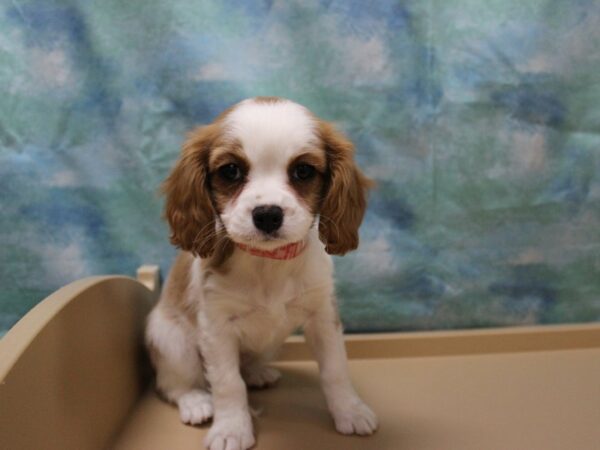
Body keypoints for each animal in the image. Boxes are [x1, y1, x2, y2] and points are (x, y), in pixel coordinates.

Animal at [146, 96, 378, 448]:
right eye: (231, 171)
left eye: (302, 171)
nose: (267, 214)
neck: (270, 261)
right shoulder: (216, 327)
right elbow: (228, 384)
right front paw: (231, 429)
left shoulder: (323, 315)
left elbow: (336, 369)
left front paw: (350, 411)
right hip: (172, 341)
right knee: (174, 384)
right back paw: (196, 401)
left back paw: (257, 372)